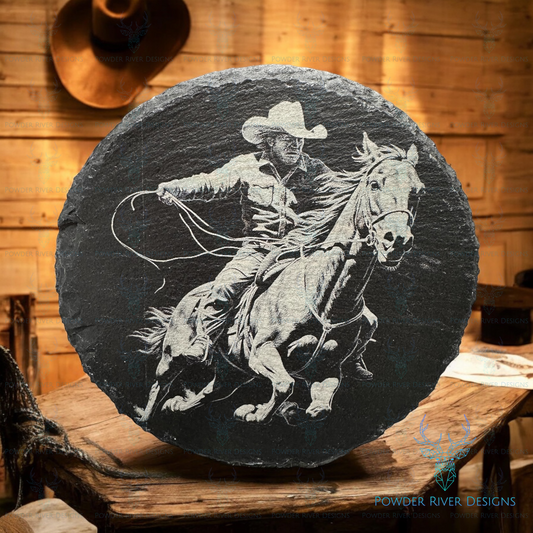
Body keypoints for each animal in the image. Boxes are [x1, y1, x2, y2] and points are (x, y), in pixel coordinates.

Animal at [132, 132, 425, 425]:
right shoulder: (261, 352)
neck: (322, 297)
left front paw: (268, 410)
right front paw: (256, 412)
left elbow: (320, 408)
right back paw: (147, 412)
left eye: (418, 191)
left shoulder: (327, 371)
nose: (396, 240)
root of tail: (187, 300)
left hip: (230, 374)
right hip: (173, 356)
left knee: (206, 393)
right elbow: (285, 384)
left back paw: (178, 405)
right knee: (160, 384)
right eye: (374, 184)